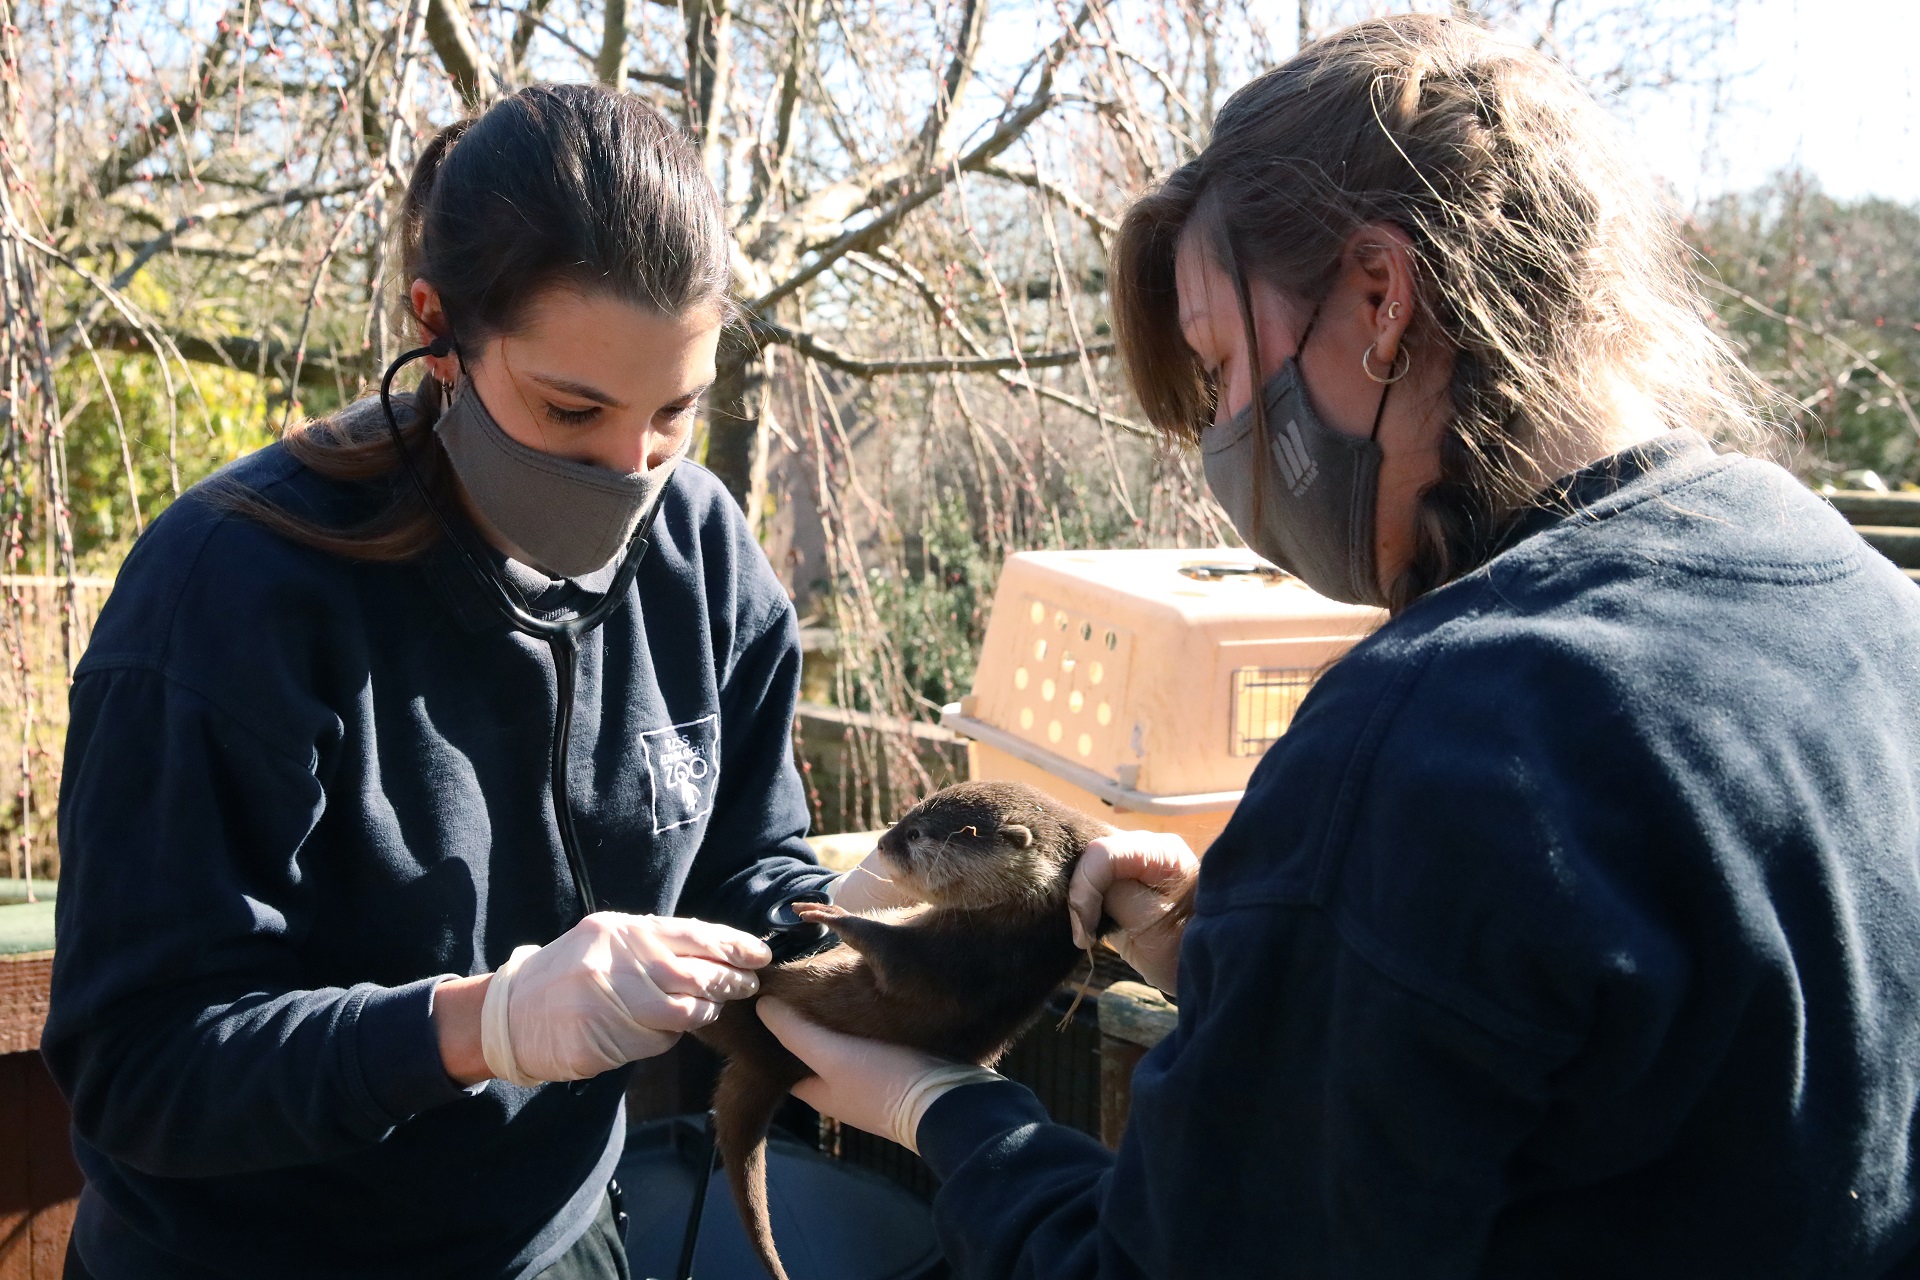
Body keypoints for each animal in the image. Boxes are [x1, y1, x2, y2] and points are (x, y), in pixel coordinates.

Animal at [691, 780, 1115, 1280]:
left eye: (916, 835)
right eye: (910, 814)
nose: (882, 842)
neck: (1017, 922)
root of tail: (769, 1063)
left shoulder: (954, 961)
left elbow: (885, 954)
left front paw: (825, 914)